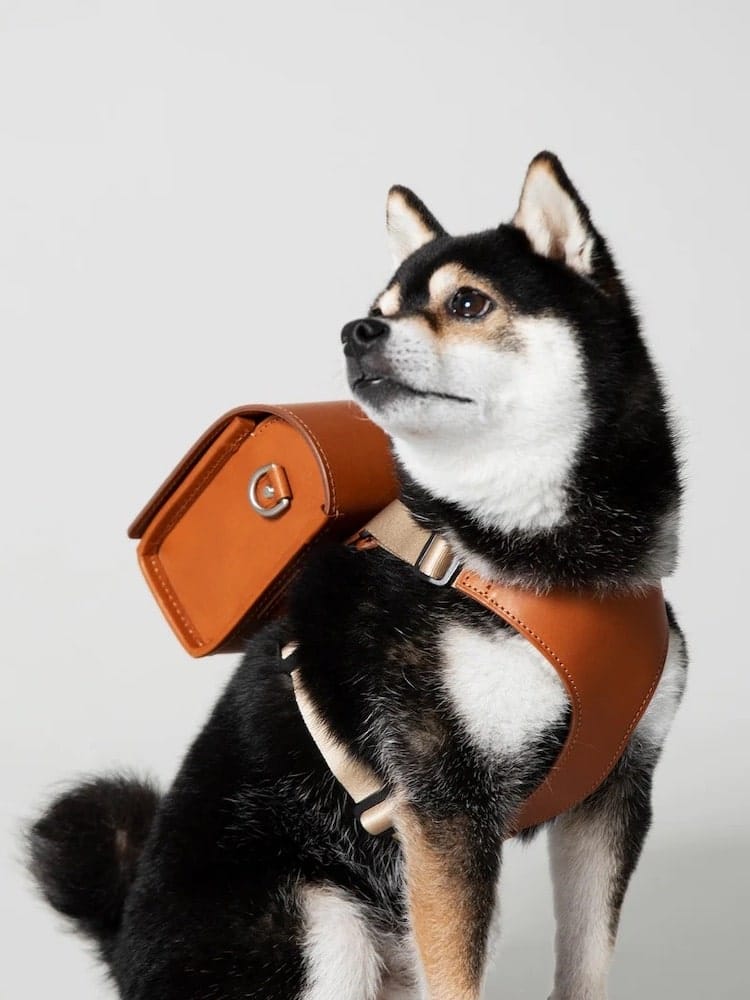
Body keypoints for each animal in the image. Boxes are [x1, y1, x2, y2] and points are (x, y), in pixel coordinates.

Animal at [27, 150, 688, 1000]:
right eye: (378, 307)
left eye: (467, 301)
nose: (356, 331)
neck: (530, 562)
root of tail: (124, 947)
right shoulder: (445, 807)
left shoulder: (614, 792)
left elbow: (586, 965)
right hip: (326, 919)